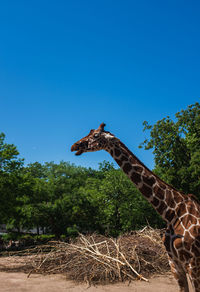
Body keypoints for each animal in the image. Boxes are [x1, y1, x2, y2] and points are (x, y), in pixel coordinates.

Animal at [72, 122, 200, 290]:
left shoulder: (193, 264)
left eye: (96, 135)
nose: (74, 146)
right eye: (90, 132)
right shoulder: (174, 263)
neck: (171, 212)